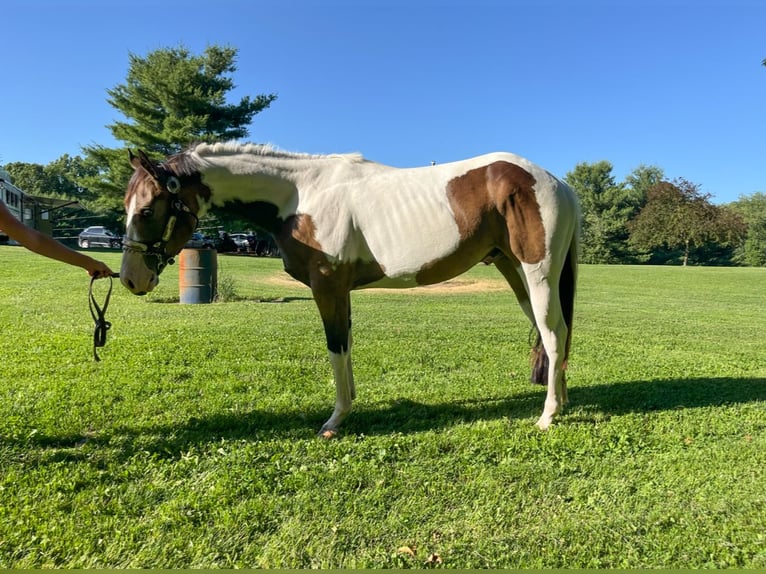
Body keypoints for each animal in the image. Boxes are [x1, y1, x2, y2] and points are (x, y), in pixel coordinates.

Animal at [120, 143, 580, 437]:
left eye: (146, 210)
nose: (130, 279)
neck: (302, 195)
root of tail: (557, 183)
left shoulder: (328, 288)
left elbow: (336, 347)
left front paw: (334, 421)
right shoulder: (341, 293)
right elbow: (347, 346)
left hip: (536, 273)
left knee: (554, 333)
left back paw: (548, 416)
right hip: (514, 272)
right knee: (554, 335)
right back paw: (561, 400)